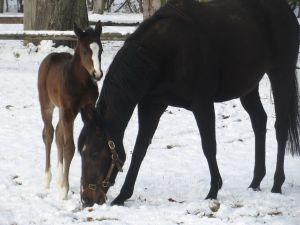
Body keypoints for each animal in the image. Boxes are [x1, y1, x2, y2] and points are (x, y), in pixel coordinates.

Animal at [37, 21, 103, 200]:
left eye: (100, 50)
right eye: (85, 51)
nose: (98, 74)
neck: (80, 82)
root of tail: (51, 57)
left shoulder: (88, 109)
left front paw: (63, 185)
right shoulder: (68, 111)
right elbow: (69, 147)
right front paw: (64, 191)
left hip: (62, 110)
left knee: (59, 134)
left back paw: (59, 178)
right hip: (47, 105)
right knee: (49, 133)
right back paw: (47, 180)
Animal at [78, 0, 300, 207]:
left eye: (94, 153)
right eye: (82, 152)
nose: (86, 199)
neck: (164, 52)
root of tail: (286, 11)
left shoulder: (202, 104)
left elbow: (209, 146)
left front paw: (213, 190)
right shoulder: (152, 106)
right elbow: (139, 151)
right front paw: (123, 196)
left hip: (281, 74)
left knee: (280, 127)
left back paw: (277, 184)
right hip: (248, 86)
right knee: (259, 121)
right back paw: (255, 182)